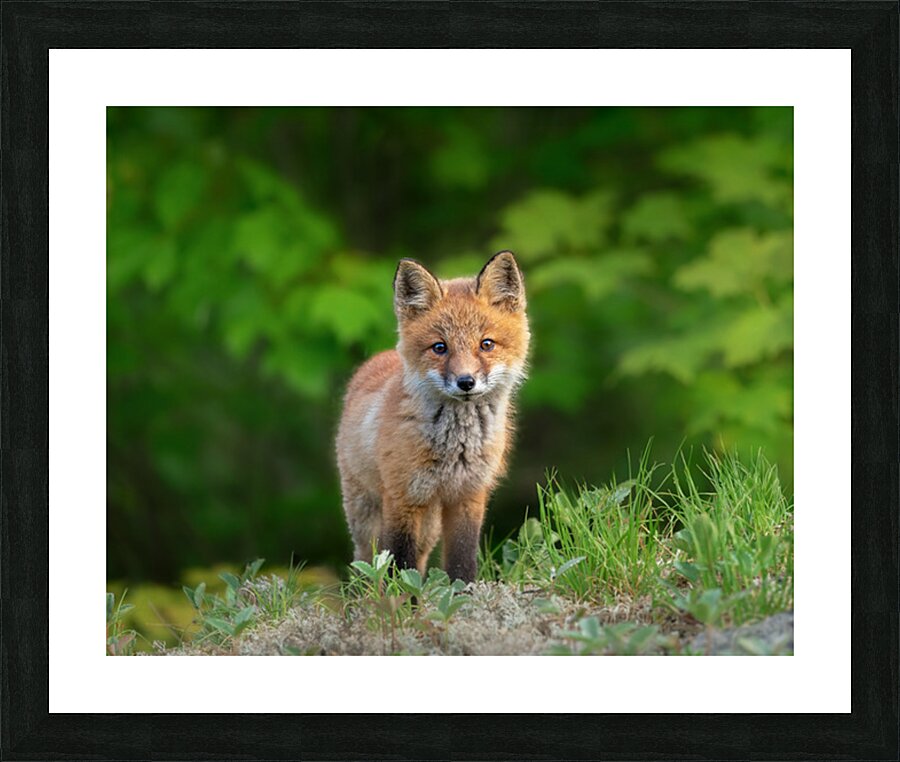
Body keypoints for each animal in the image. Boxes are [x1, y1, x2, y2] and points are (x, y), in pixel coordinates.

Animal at [336, 251, 530, 583]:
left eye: (486, 344)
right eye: (440, 347)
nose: (466, 382)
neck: (456, 448)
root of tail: (377, 358)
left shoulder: (468, 495)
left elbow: (461, 559)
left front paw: (461, 592)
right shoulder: (403, 496)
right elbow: (401, 563)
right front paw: (404, 598)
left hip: (429, 525)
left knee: (422, 555)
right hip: (367, 511)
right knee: (367, 560)